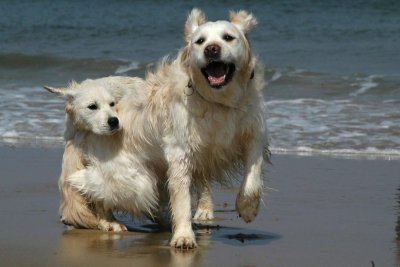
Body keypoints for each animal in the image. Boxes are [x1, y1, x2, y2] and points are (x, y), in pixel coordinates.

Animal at [114, 8, 268, 249]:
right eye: (200, 41)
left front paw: (247, 208)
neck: (218, 101)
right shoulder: (180, 150)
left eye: (228, 37)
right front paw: (183, 236)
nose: (211, 49)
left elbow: (253, 175)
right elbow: (182, 197)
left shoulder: (252, 132)